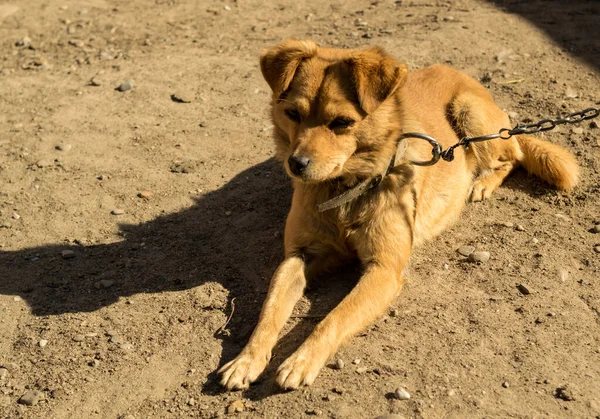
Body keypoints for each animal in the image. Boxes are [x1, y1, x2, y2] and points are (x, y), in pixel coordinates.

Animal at [218, 41, 580, 392]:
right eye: (293, 113)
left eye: (342, 122)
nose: (296, 164)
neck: (346, 188)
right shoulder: (299, 256)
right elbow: (269, 310)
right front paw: (247, 359)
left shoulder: (384, 270)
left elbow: (334, 317)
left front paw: (302, 360)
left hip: (472, 115)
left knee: (512, 156)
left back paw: (482, 183)